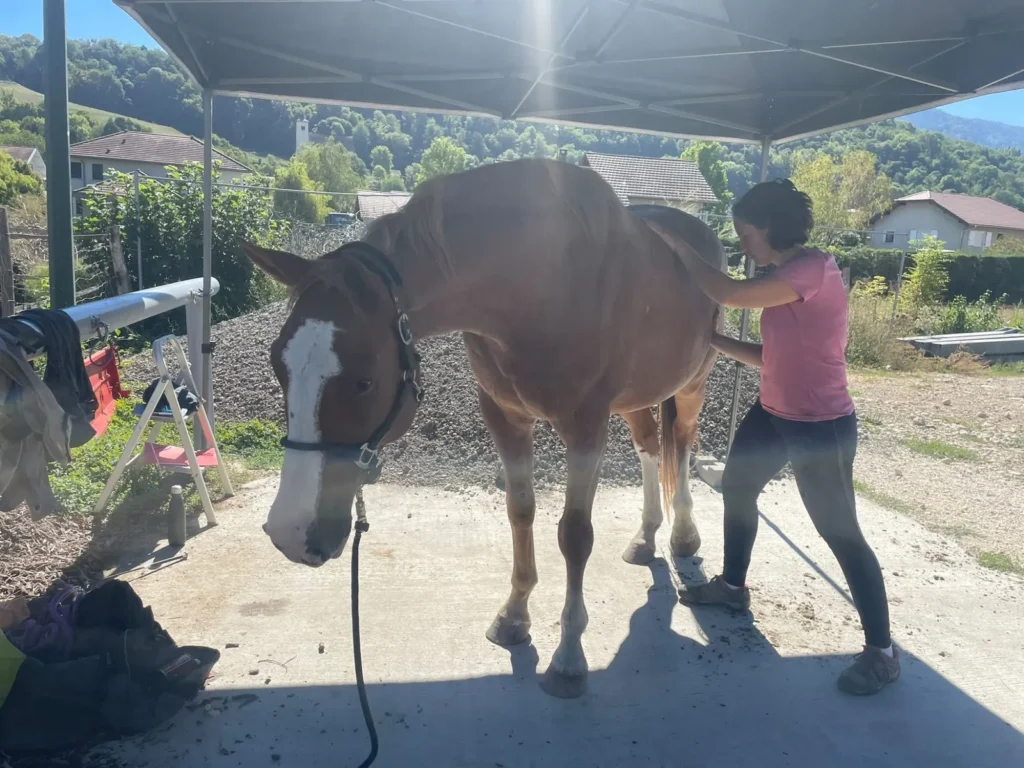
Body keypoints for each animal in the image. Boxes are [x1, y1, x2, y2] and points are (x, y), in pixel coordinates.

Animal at [242, 157, 726, 698]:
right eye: (278, 366)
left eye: (364, 381)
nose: (290, 532)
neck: (540, 284)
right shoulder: (505, 418)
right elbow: (521, 512)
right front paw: (514, 615)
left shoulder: (585, 427)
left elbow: (575, 534)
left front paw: (569, 656)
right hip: (635, 399)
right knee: (648, 446)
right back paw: (645, 537)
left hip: (691, 386)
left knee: (680, 445)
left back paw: (683, 534)